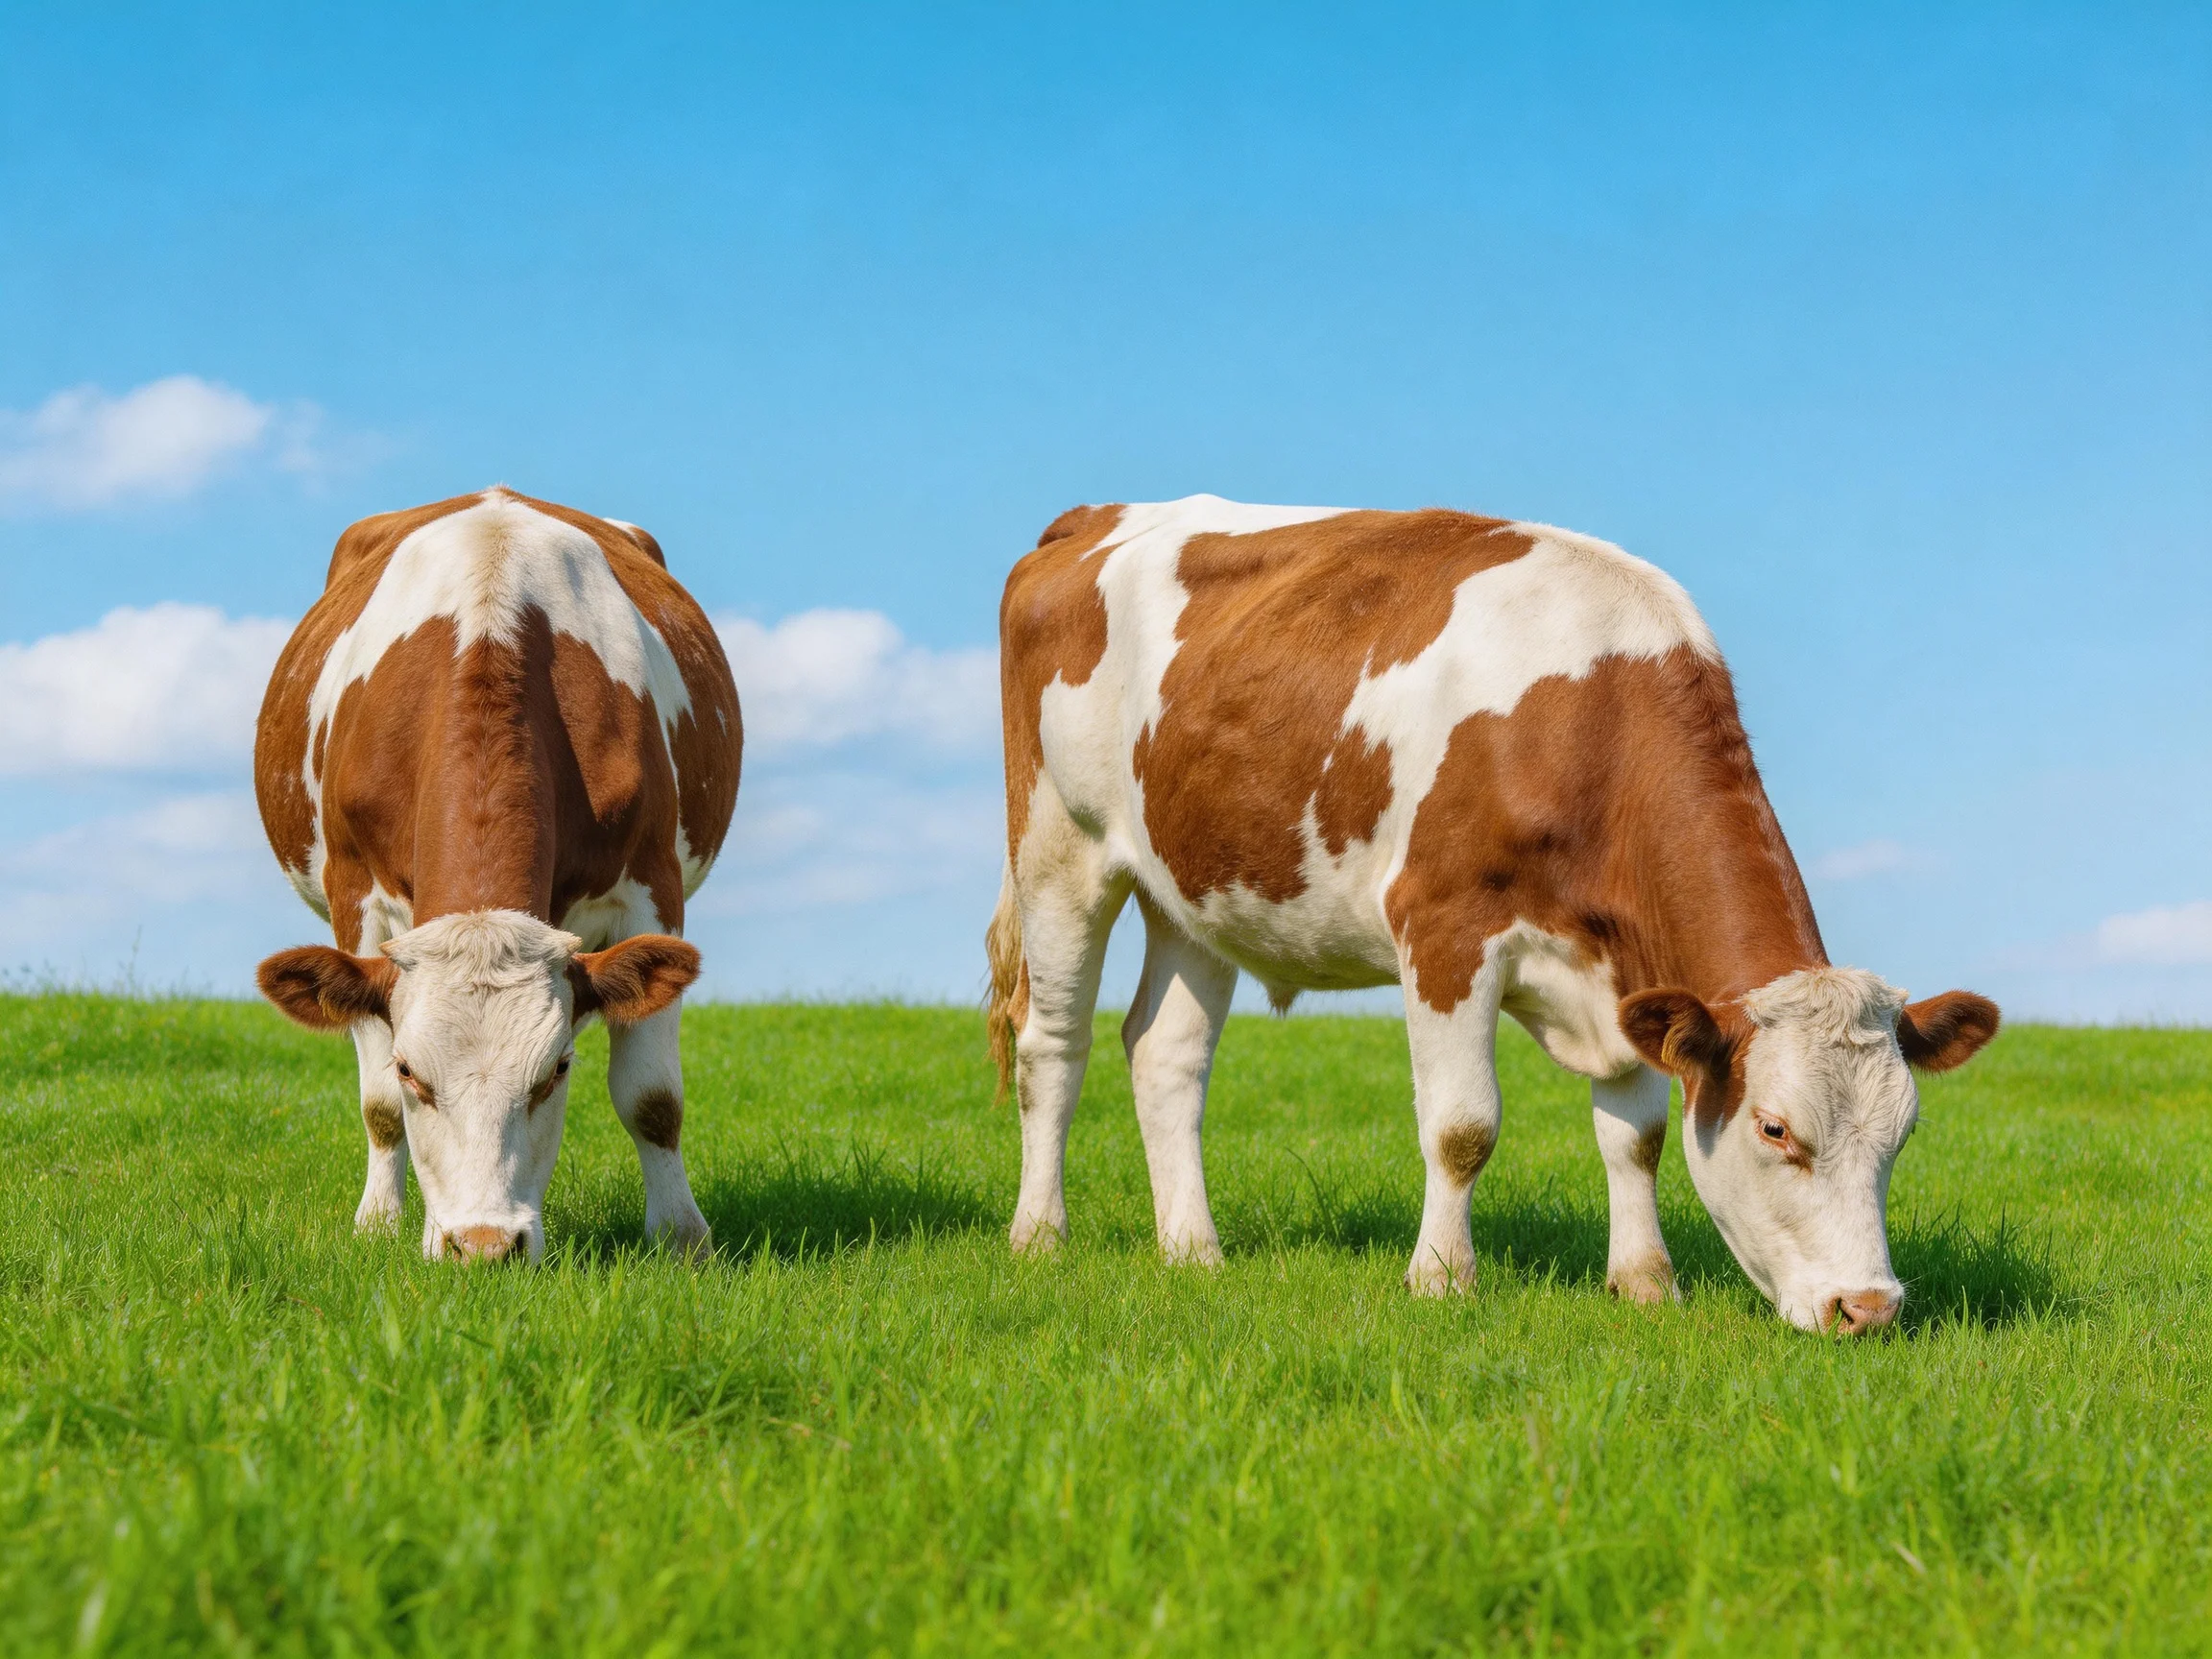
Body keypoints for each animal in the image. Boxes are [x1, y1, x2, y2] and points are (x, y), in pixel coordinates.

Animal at [251, 487, 741, 1262]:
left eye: (556, 1070)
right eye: (411, 1071)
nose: (483, 1245)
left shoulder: (653, 889)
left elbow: (652, 1098)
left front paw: (680, 1238)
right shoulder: (356, 902)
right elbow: (378, 1107)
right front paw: (381, 1226)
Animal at [986, 496, 1999, 1333]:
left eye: (1904, 1133)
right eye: (1775, 1130)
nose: (1868, 1308)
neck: (1586, 722)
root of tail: (1095, 516)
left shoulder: (1630, 978)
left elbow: (1638, 1138)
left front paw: (1646, 1284)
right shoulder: (1444, 928)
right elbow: (1463, 1127)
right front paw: (1441, 1279)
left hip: (1196, 890)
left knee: (1165, 1055)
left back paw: (1194, 1252)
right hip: (1059, 847)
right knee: (1053, 1046)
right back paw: (1039, 1235)